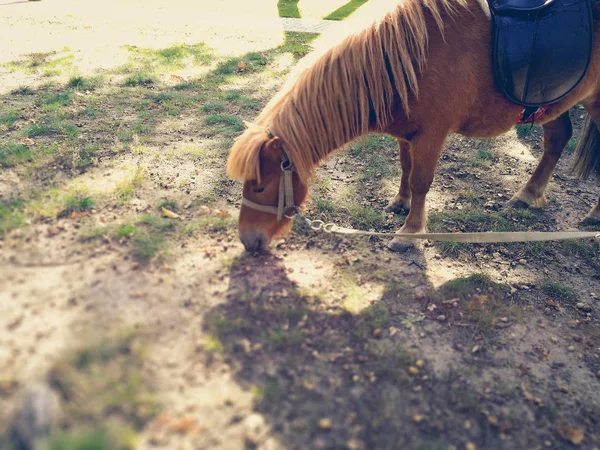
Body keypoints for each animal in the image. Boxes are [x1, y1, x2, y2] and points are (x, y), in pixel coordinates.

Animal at [225, 0, 600, 253]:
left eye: (259, 187)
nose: (248, 240)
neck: (412, 58)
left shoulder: (432, 134)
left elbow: (421, 180)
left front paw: (410, 233)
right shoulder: (408, 134)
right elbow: (405, 169)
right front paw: (400, 203)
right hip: (554, 104)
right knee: (557, 140)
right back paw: (529, 194)